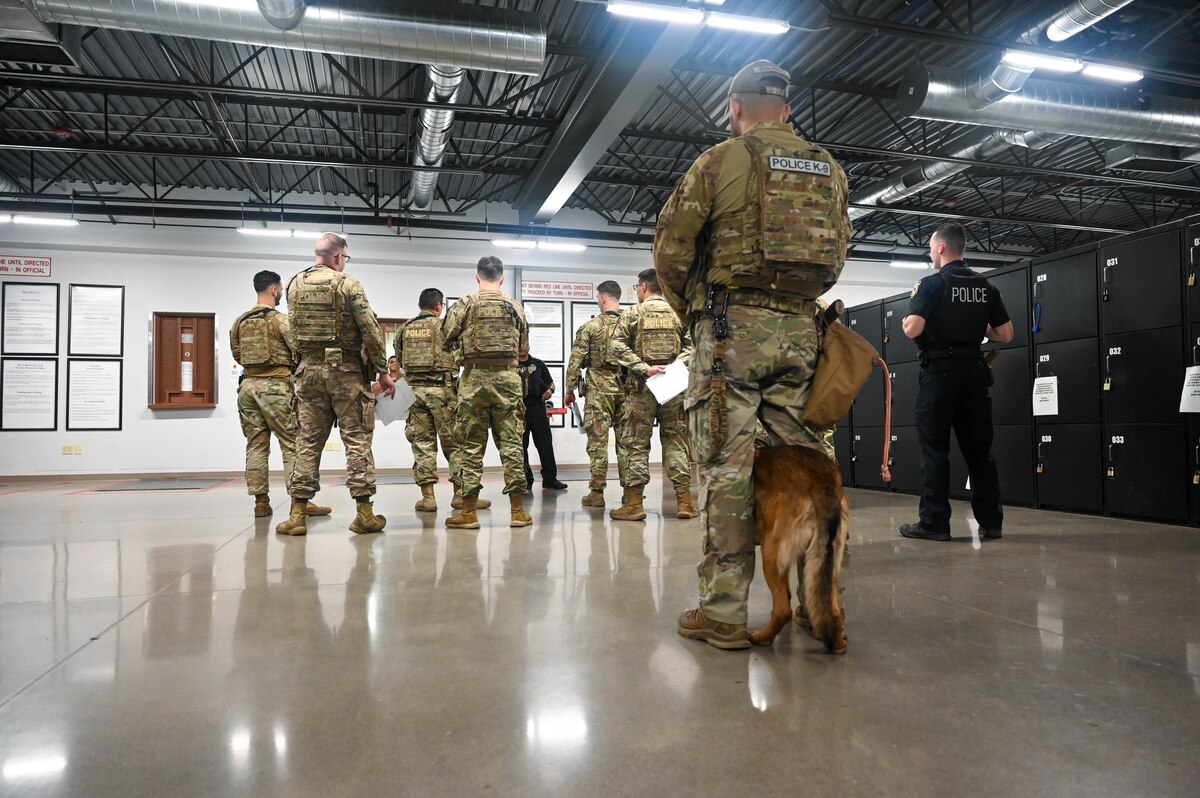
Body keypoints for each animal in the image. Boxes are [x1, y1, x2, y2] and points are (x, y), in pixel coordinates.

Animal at [753, 441, 849, 652]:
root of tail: (822, 477)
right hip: (827, 560)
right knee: (833, 611)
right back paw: (837, 644)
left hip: (770, 553)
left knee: (782, 610)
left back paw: (762, 637)